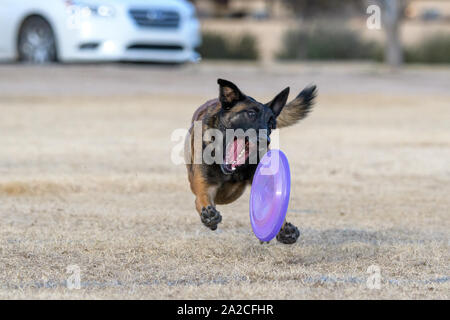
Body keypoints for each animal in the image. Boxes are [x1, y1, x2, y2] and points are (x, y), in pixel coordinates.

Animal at [183, 79, 316, 244]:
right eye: (251, 114)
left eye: (271, 123)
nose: (265, 140)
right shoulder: (204, 187)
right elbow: (203, 199)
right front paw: (209, 215)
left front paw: (284, 228)